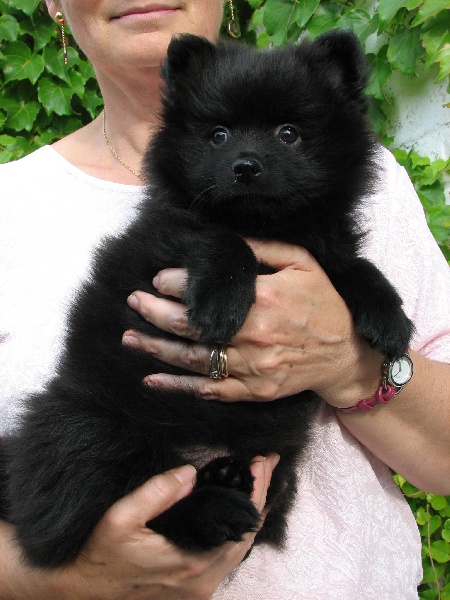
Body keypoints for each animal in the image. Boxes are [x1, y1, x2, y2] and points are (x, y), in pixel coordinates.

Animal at [0, 31, 414, 568]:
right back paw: (213, 507)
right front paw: (223, 299)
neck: (265, 225)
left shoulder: (324, 251)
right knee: (122, 497)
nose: (245, 167)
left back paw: (227, 477)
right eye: (218, 135)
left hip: (275, 464)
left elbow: (353, 267)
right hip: (85, 428)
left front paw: (389, 314)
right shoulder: (167, 233)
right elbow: (218, 237)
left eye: (288, 133)